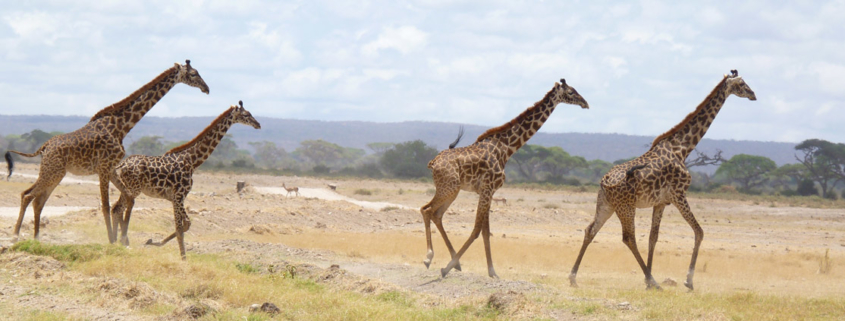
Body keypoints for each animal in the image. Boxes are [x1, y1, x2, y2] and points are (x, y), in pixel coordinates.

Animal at [5, 60, 209, 241]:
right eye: (193, 74)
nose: (206, 88)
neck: (121, 127)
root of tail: (45, 146)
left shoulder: (111, 168)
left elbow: (127, 199)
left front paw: (121, 239)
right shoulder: (103, 168)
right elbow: (105, 205)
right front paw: (112, 240)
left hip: (57, 173)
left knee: (37, 200)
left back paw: (36, 238)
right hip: (52, 170)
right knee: (27, 195)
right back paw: (15, 235)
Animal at [109, 100, 260, 258]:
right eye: (246, 114)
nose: (258, 124)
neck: (192, 161)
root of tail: (122, 164)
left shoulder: (176, 198)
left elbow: (185, 225)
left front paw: (153, 242)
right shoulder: (178, 196)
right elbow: (181, 227)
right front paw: (183, 258)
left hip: (128, 188)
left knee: (116, 208)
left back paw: (115, 242)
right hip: (134, 189)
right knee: (119, 208)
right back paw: (120, 242)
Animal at [420, 78, 588, 278]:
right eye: (570, 92)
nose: (585, 103)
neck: (507, 148)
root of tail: (433, 162)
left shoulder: (488, 191)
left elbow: (485, 231)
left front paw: (492, 271)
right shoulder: (488, 189)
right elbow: (477, 230)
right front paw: (447, 267)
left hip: (452, 190)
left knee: (435, 214)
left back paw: (452, 262)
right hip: (449, 188)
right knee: (427, 210)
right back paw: (429, 258)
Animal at [568, 70, 760, 290]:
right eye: (742, 84)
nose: (754, 94)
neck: (682, 149)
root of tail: (605, 181)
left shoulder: (660, 202)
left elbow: (654, 237)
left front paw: (648, 279)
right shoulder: (679, 195)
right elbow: (699, 231)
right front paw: (688, 281)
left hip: (606, 204)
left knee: (590, 230)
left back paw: (573, 277)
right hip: (626, 206)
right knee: (628, 238)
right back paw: (654, 282)